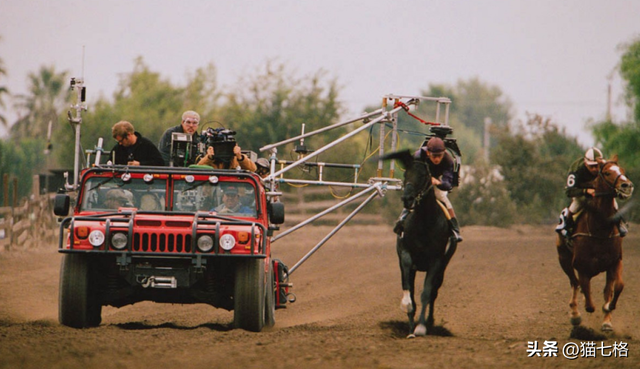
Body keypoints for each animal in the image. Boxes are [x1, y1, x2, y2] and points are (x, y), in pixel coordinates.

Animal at [556, 156, 636, 330]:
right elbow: (588, 299)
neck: (600, 228)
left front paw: (607, 315)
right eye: (607, 173)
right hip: (563, 260)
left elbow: (616, 288)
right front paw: (581, 312)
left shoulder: (615, 262)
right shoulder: (581, 266)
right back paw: (575, 315)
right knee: (574, 283)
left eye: (622, 170)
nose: (627, 186)